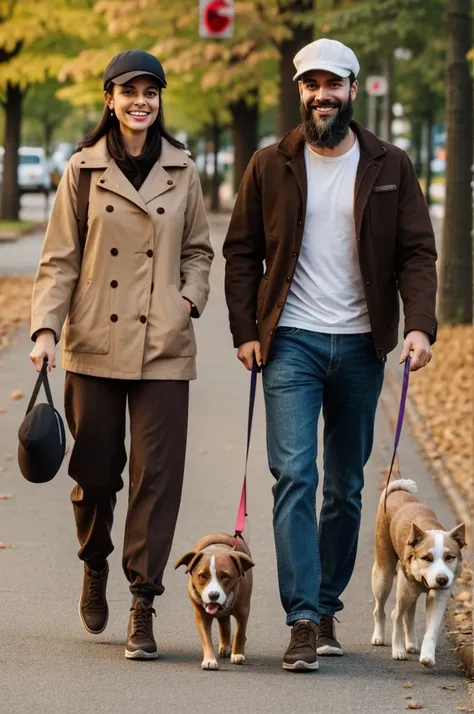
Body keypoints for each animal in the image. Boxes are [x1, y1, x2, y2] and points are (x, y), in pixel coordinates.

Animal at [175, 532, 256, 672]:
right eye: (202, 576)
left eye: (225, 576)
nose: (213, 595)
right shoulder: (201, 615)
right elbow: (206, 638)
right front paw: (209, 660)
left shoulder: (243, 609)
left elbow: (240, 633)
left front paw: (237, 654)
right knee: (224, 624)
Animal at [370, 478, 466, 668]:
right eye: (427, 558)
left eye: (450, 557)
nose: (442, 579)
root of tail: (397, 490)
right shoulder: (405, 589)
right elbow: (397, 617)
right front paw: (398, 650)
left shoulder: (439, 595)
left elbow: (432, 628)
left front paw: (427, 655)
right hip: (384, 576)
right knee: (383, 610)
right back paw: (379, 637)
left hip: (409, 593)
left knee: (409, 614)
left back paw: (411, 643)